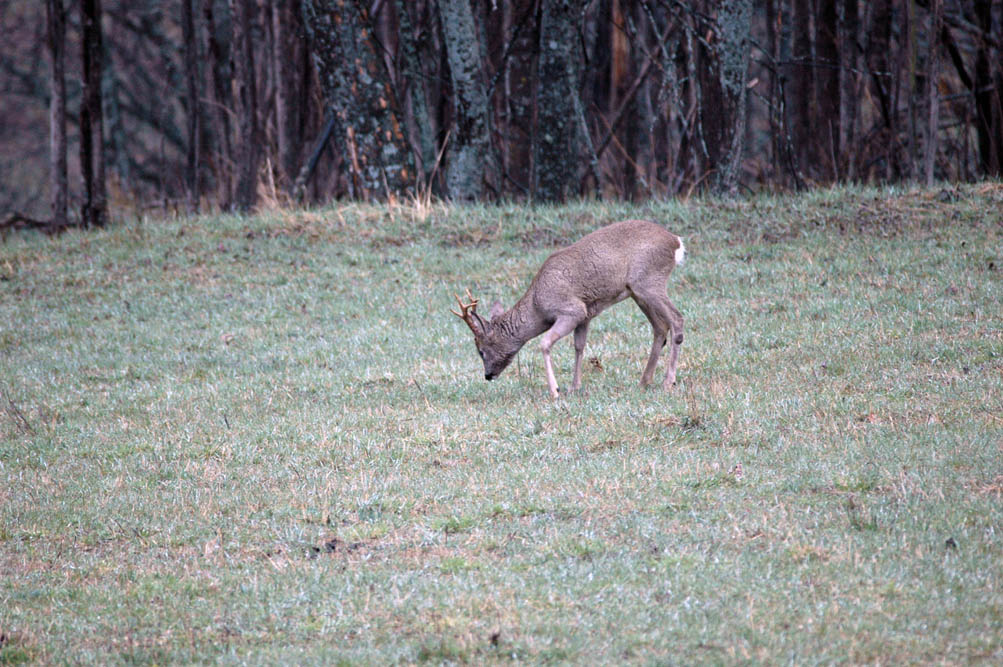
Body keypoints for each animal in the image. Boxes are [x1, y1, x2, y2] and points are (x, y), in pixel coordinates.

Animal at [453, 218, 682, 397]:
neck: (538, 305)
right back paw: (644, 381)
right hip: (638, 292)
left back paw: (668, 382)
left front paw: (555, 390)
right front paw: (574, 387)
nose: (487, 375)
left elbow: (544, 343)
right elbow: (579, 346)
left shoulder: (572, 310)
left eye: (481, 351)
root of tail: (675, 242)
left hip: (648, 282)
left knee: (677, 319)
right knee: (660, 327)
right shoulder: (586, 314)